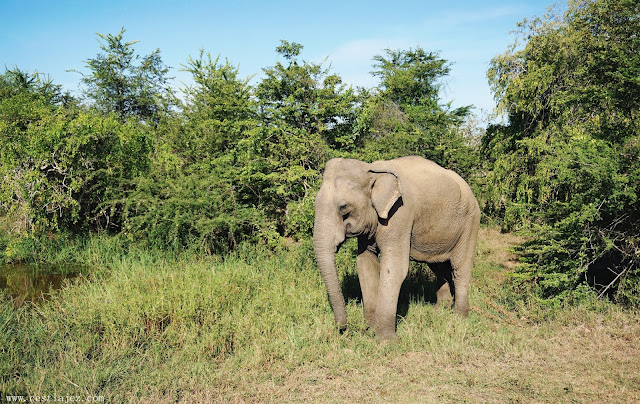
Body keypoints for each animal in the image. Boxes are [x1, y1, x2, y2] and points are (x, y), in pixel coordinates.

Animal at [310, 156, 480, 340]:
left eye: (343, 207)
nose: (344, 330)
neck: (371, 170)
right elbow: (365, 263)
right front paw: (371, 329)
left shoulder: (400, 214)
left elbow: (395, 267)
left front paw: (385, 341)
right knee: (439, 267)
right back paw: (439, 311)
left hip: (470, 221)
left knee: (460, 266)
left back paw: (459, 318)